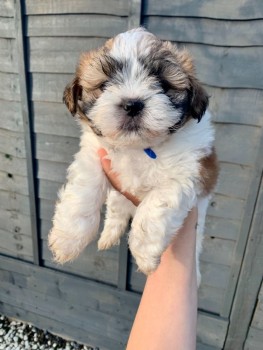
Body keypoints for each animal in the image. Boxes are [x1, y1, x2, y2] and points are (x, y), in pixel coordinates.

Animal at [48, 27, 220, 282]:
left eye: (163, 84)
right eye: (104, 85)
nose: (132, 104)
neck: (138, 147)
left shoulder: (191, 171)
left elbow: (155, 206)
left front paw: (144, 252)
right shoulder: (93, 153)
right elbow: (84, 189)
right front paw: (68, 239)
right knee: (116, 207)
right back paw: (109, 234)